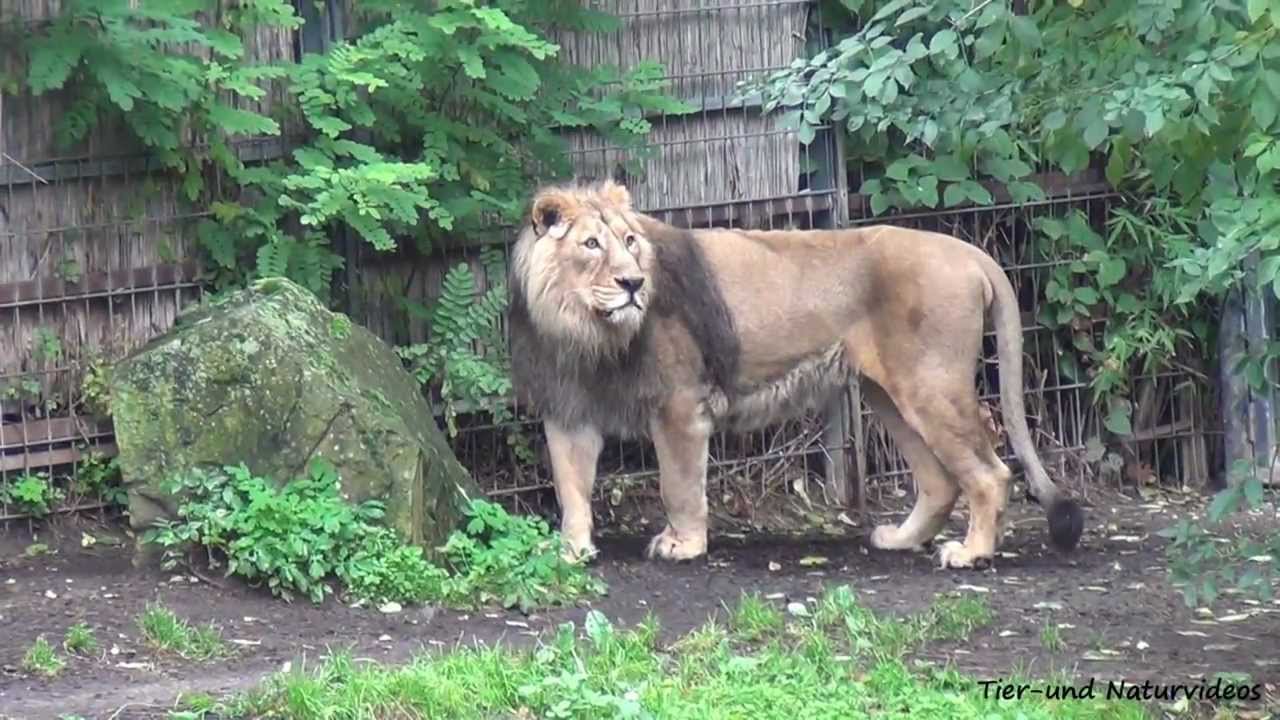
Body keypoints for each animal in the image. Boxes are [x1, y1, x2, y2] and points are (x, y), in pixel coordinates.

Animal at [507, 178, 1085, 570]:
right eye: (591, 244)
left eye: (630, 241)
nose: (633, 283)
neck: (586, 331)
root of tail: (969, 253)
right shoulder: (568, 409)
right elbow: (570, 485)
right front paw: (570, 549)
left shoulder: (680, 404)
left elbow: (679, 485)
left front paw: (683, 545)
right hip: (888, 394)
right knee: (941, 481)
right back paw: (900, 540)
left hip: (931, 387)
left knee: (990, 474)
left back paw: (971, 553)